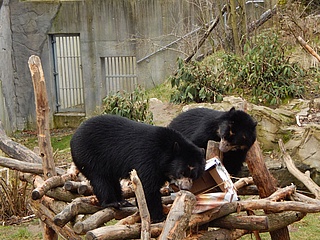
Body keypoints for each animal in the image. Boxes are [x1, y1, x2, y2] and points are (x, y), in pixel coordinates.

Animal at [70, 115, 205, 223]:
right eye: (181, 172)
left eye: (194, 175)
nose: (186, 187)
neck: (165, 153)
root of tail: (74, 135)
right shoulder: (147, 159)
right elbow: (147, 188)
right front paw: (158, 217)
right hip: (90, 156)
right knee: (101, 180)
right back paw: (112, 202)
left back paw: (123, 201)